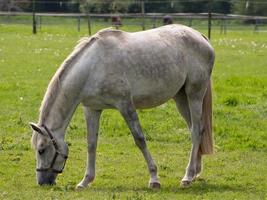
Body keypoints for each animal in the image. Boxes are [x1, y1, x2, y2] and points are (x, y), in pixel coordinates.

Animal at [29, 24, 216, 188]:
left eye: (41, 150)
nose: (43, 182)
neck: (93, 68)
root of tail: (200, 36)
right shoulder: (92, 109)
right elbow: (91, 143)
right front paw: (85, 181)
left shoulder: (125, 105)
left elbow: (140, 139)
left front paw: (154, 179)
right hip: (181, 98)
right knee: (194, 129)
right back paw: (194, 172)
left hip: (194, 95)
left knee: (196, 130)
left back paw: (187, 177)